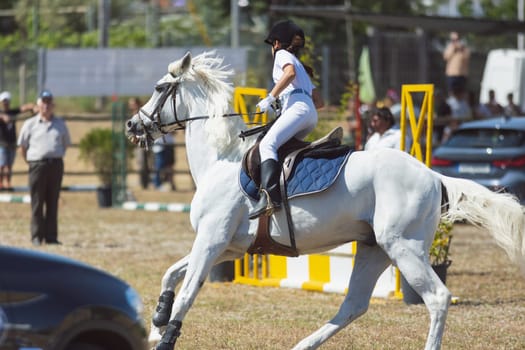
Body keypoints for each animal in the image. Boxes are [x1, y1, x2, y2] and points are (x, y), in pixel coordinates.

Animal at [124, 51, 524, 350]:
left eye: (160, 88)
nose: (132, 125)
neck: (221, 160)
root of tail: (432, 175)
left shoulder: (212, 240)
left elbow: (188, 290)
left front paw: (165, 338)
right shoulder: (228, 247)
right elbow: (171, 273)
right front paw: (157, 321)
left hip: (403, 247)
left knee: (437, 298)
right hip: (375, 248)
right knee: (353, 305)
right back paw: (302, 345)